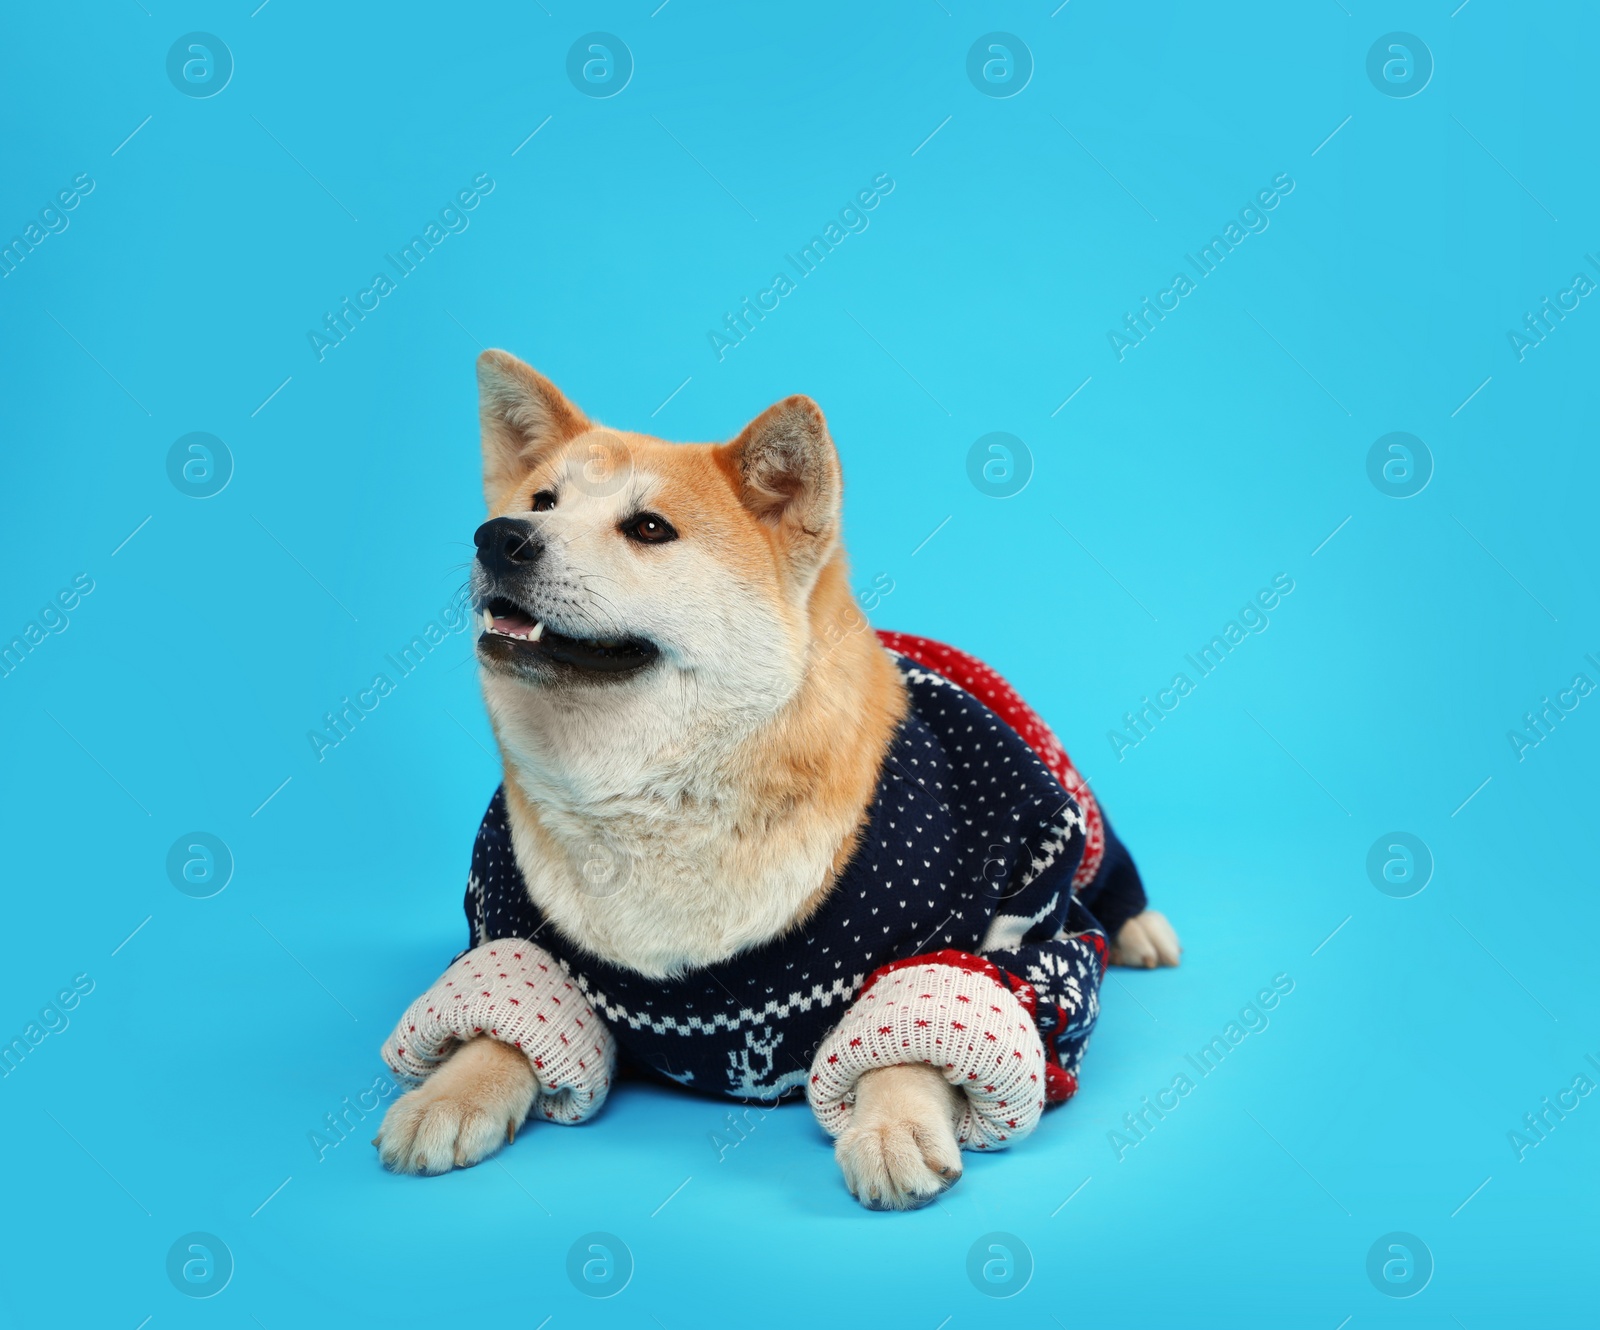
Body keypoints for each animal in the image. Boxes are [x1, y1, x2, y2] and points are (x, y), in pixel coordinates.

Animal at [371, 350, 1177, 1203]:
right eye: (540, 502)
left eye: (649, 528)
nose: (500, 537)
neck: (658, 796)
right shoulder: (509, 921)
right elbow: (501, 1020)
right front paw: (453, 1088)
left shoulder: (1007, 937)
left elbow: (917, 1033)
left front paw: (892, 1122)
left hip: (1062, 807)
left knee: (1106, 866)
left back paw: (1141, 927)